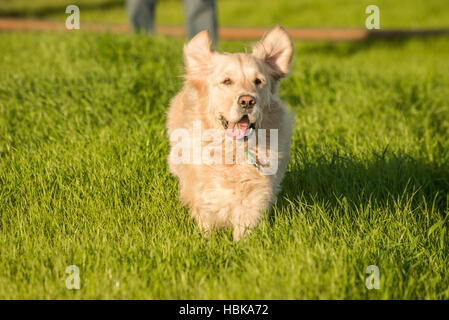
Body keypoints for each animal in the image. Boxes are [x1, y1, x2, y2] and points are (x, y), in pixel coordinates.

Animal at [166, 25, 292, 240]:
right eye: (227, 81)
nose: (247, 101)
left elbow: (245, 224)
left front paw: (242, 244)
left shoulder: (256, 191)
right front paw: (206, 241)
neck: (233, 149)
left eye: (258, 81)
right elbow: (207, 215)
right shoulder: (204, 189)